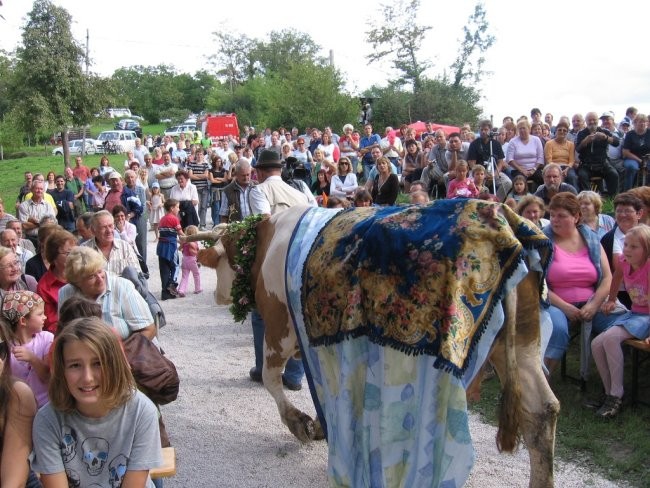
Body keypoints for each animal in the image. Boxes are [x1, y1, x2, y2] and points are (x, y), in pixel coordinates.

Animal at [187, 200, 556, 486]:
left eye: (219, 259)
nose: (218, 295)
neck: (264, 243)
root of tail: (504, 225)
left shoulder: (281, 327)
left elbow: (270, 377)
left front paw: (300, 424)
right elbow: (322, 386)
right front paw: (320, 425)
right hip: (522, 346)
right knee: (542, 412)